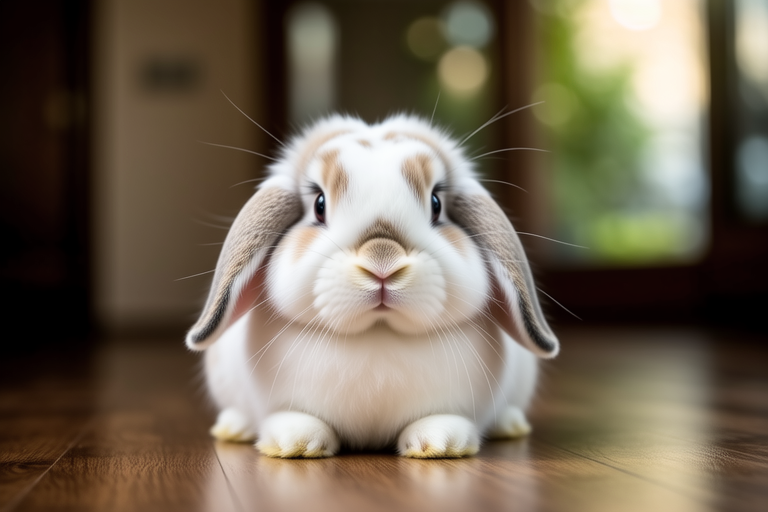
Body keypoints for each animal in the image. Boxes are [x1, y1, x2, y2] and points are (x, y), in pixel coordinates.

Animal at [186, 114, 559, 459]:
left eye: (436, 204)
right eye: (319, 205)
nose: (383, 262)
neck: (378, 333)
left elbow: (440, 418)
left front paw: (441, 444)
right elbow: (298, 418)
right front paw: (295, 443)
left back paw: (511, 425)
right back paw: (233, 428)